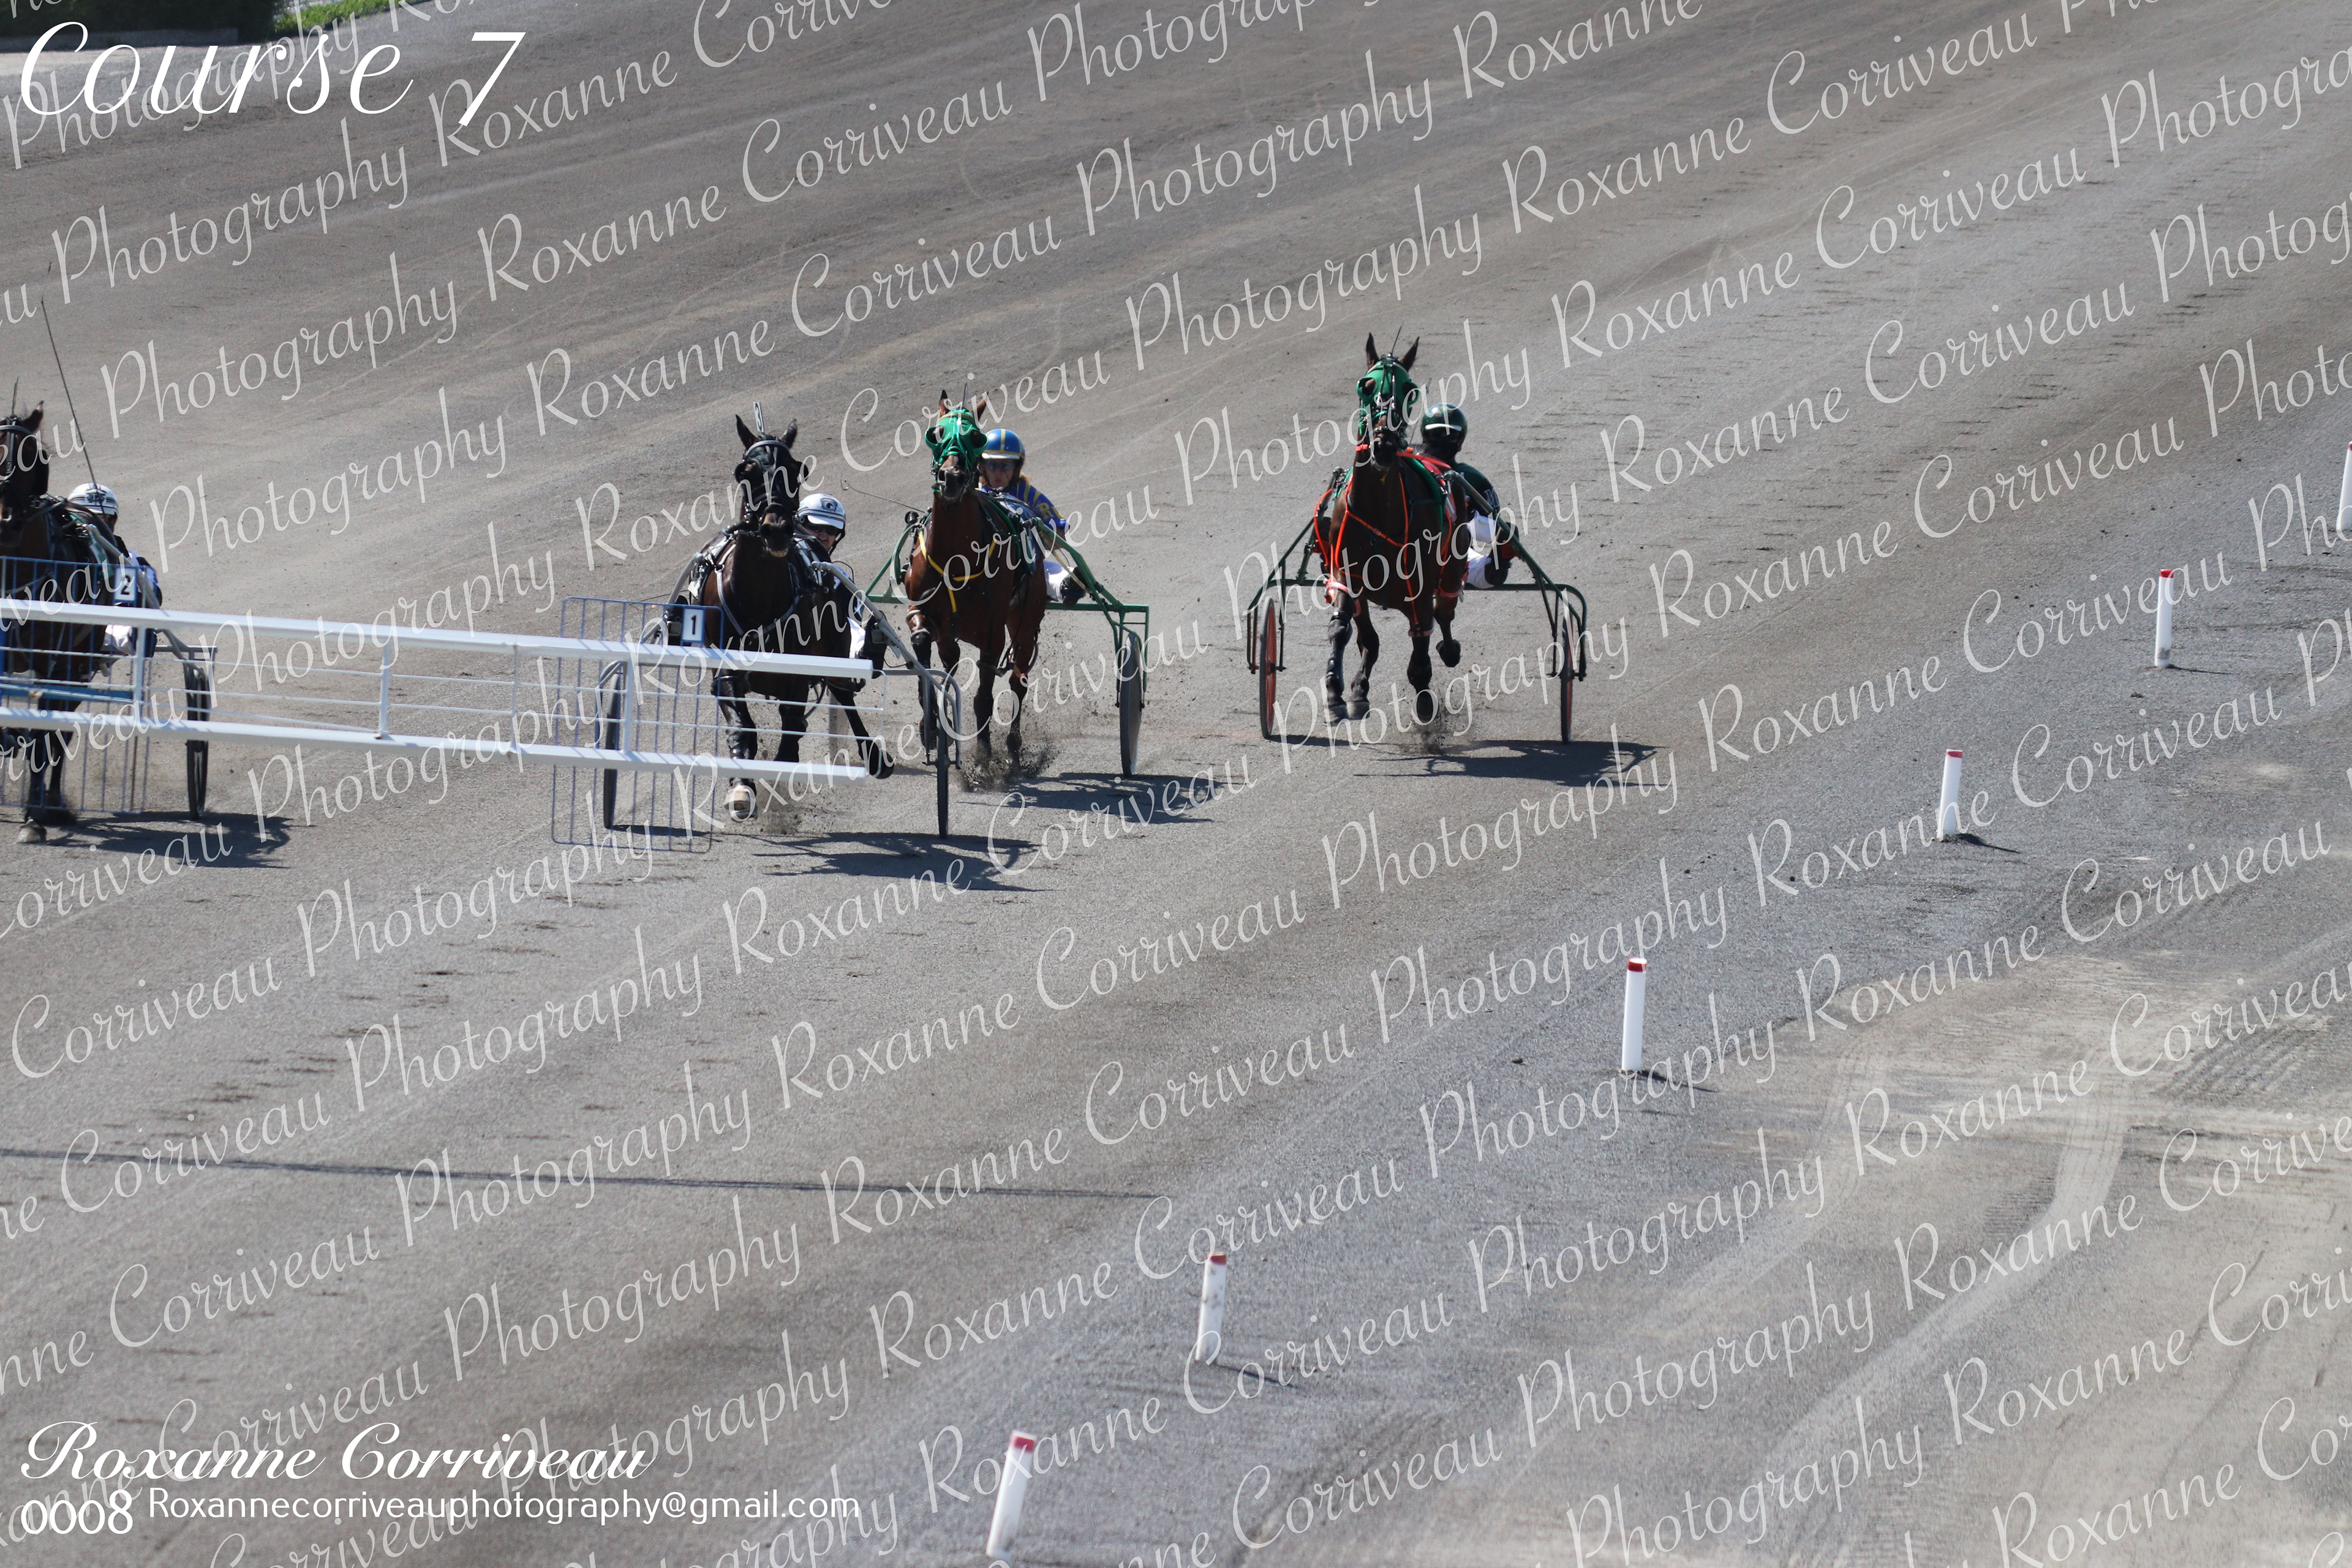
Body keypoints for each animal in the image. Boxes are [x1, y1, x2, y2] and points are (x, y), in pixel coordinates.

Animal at [682, 413, 891, 823]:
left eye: (796, 470)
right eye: (744, 472)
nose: (777, 528)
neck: (760, 593)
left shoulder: (799, 671)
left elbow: (793, 727)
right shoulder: (727, 668)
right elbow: (741, 726)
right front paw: (741, 788)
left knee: (843, 694)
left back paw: (873, 754)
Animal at [901, 393, 1046, 761]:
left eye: (977, 438)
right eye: (937, 433)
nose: (951, 477)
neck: (956, 558)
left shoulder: (992, 634)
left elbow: (984, 695)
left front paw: (983, 756)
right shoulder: (923, 612)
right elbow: (924, 648)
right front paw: (930, 726)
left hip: (1026, 617)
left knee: (1019, 678)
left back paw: (1013, 744)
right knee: (951, 660)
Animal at [1309, 336, 1463, 726]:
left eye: (1410, 391)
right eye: (1366, 385)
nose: (1383, 444)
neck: (1379, 507)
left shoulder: (1420, 580)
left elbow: (1422, 637)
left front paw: (1424, 699)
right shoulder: (1346, 571)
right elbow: (1342, 628)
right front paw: (1337, 692)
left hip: (1452, 562)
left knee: (1443, 613)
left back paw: (1448, 648)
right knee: (1370, 638)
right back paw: (1359, 689)